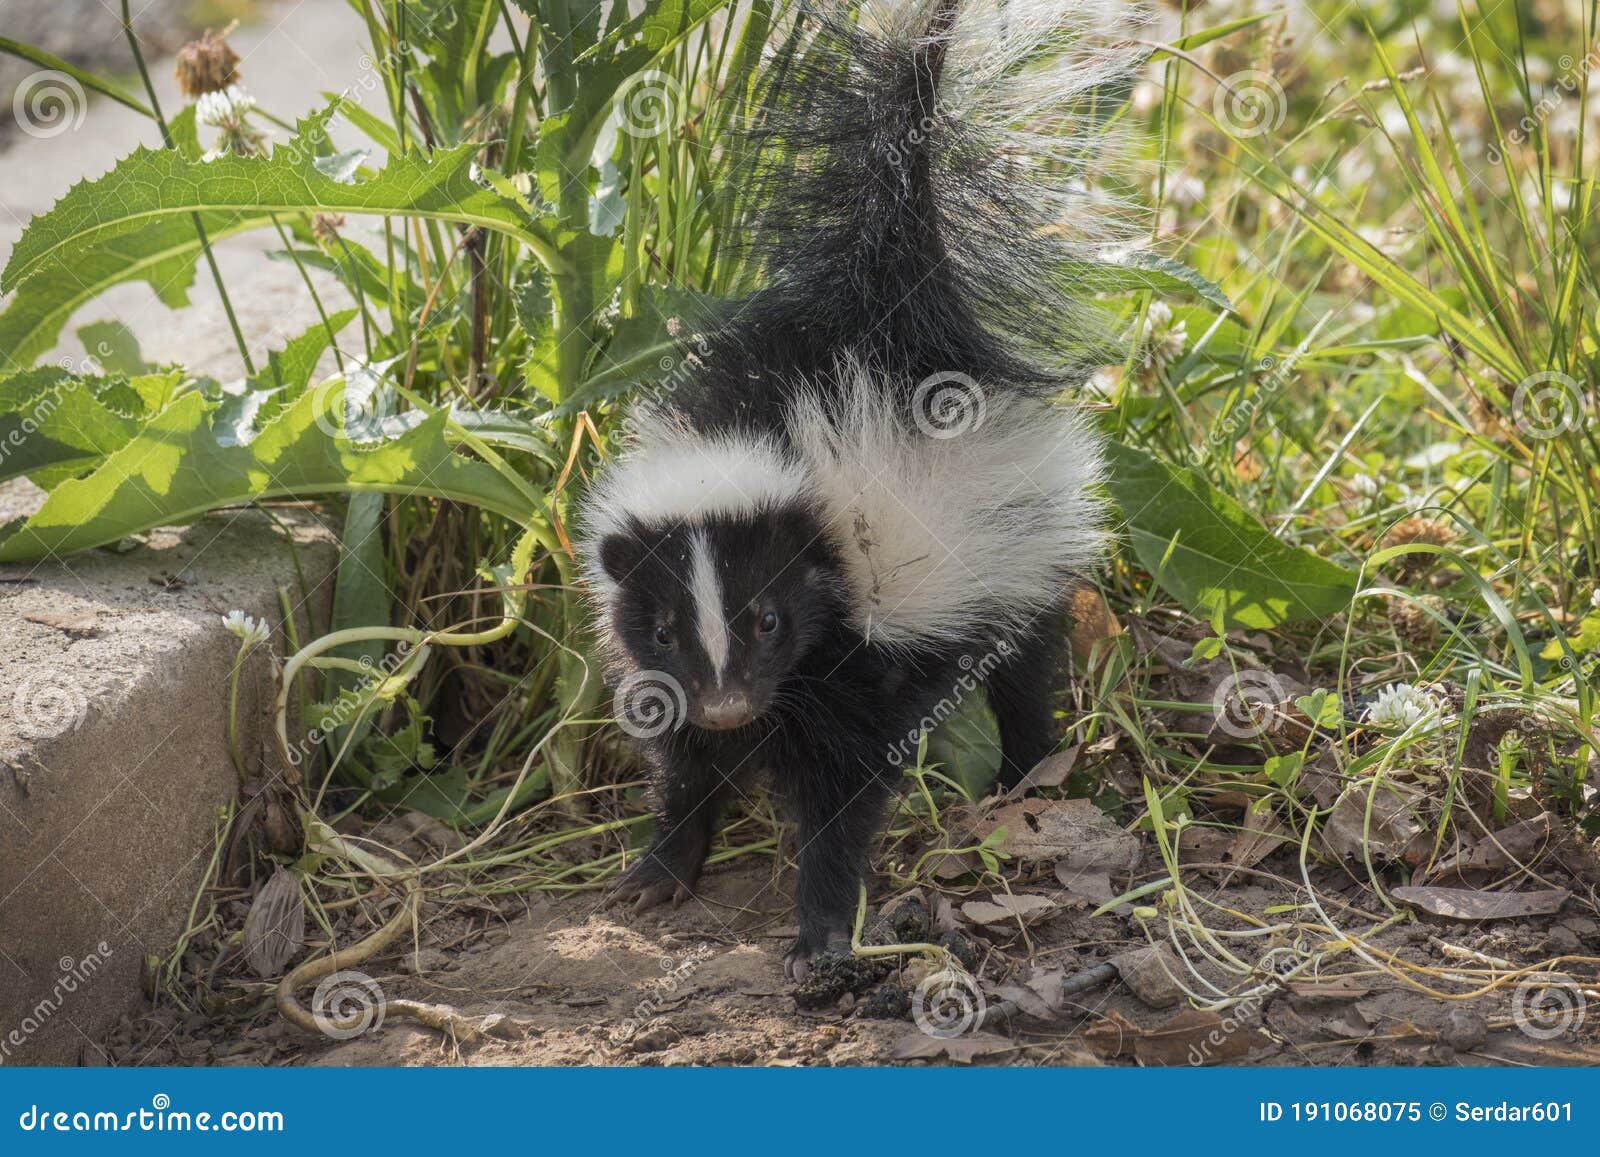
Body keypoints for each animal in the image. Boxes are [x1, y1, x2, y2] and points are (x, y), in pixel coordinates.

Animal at [576, 0, 1139, 979]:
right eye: (663, 627)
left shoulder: (862, 654)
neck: (769, 444)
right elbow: (681, 762)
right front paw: (660, 865)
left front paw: (821, 930)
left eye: (771, 618)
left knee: (1024, 667)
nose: (731, 704)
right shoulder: (664, 672)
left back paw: (1022, 772)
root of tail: (902, 294)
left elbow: (843, 796)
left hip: (1014, 547)